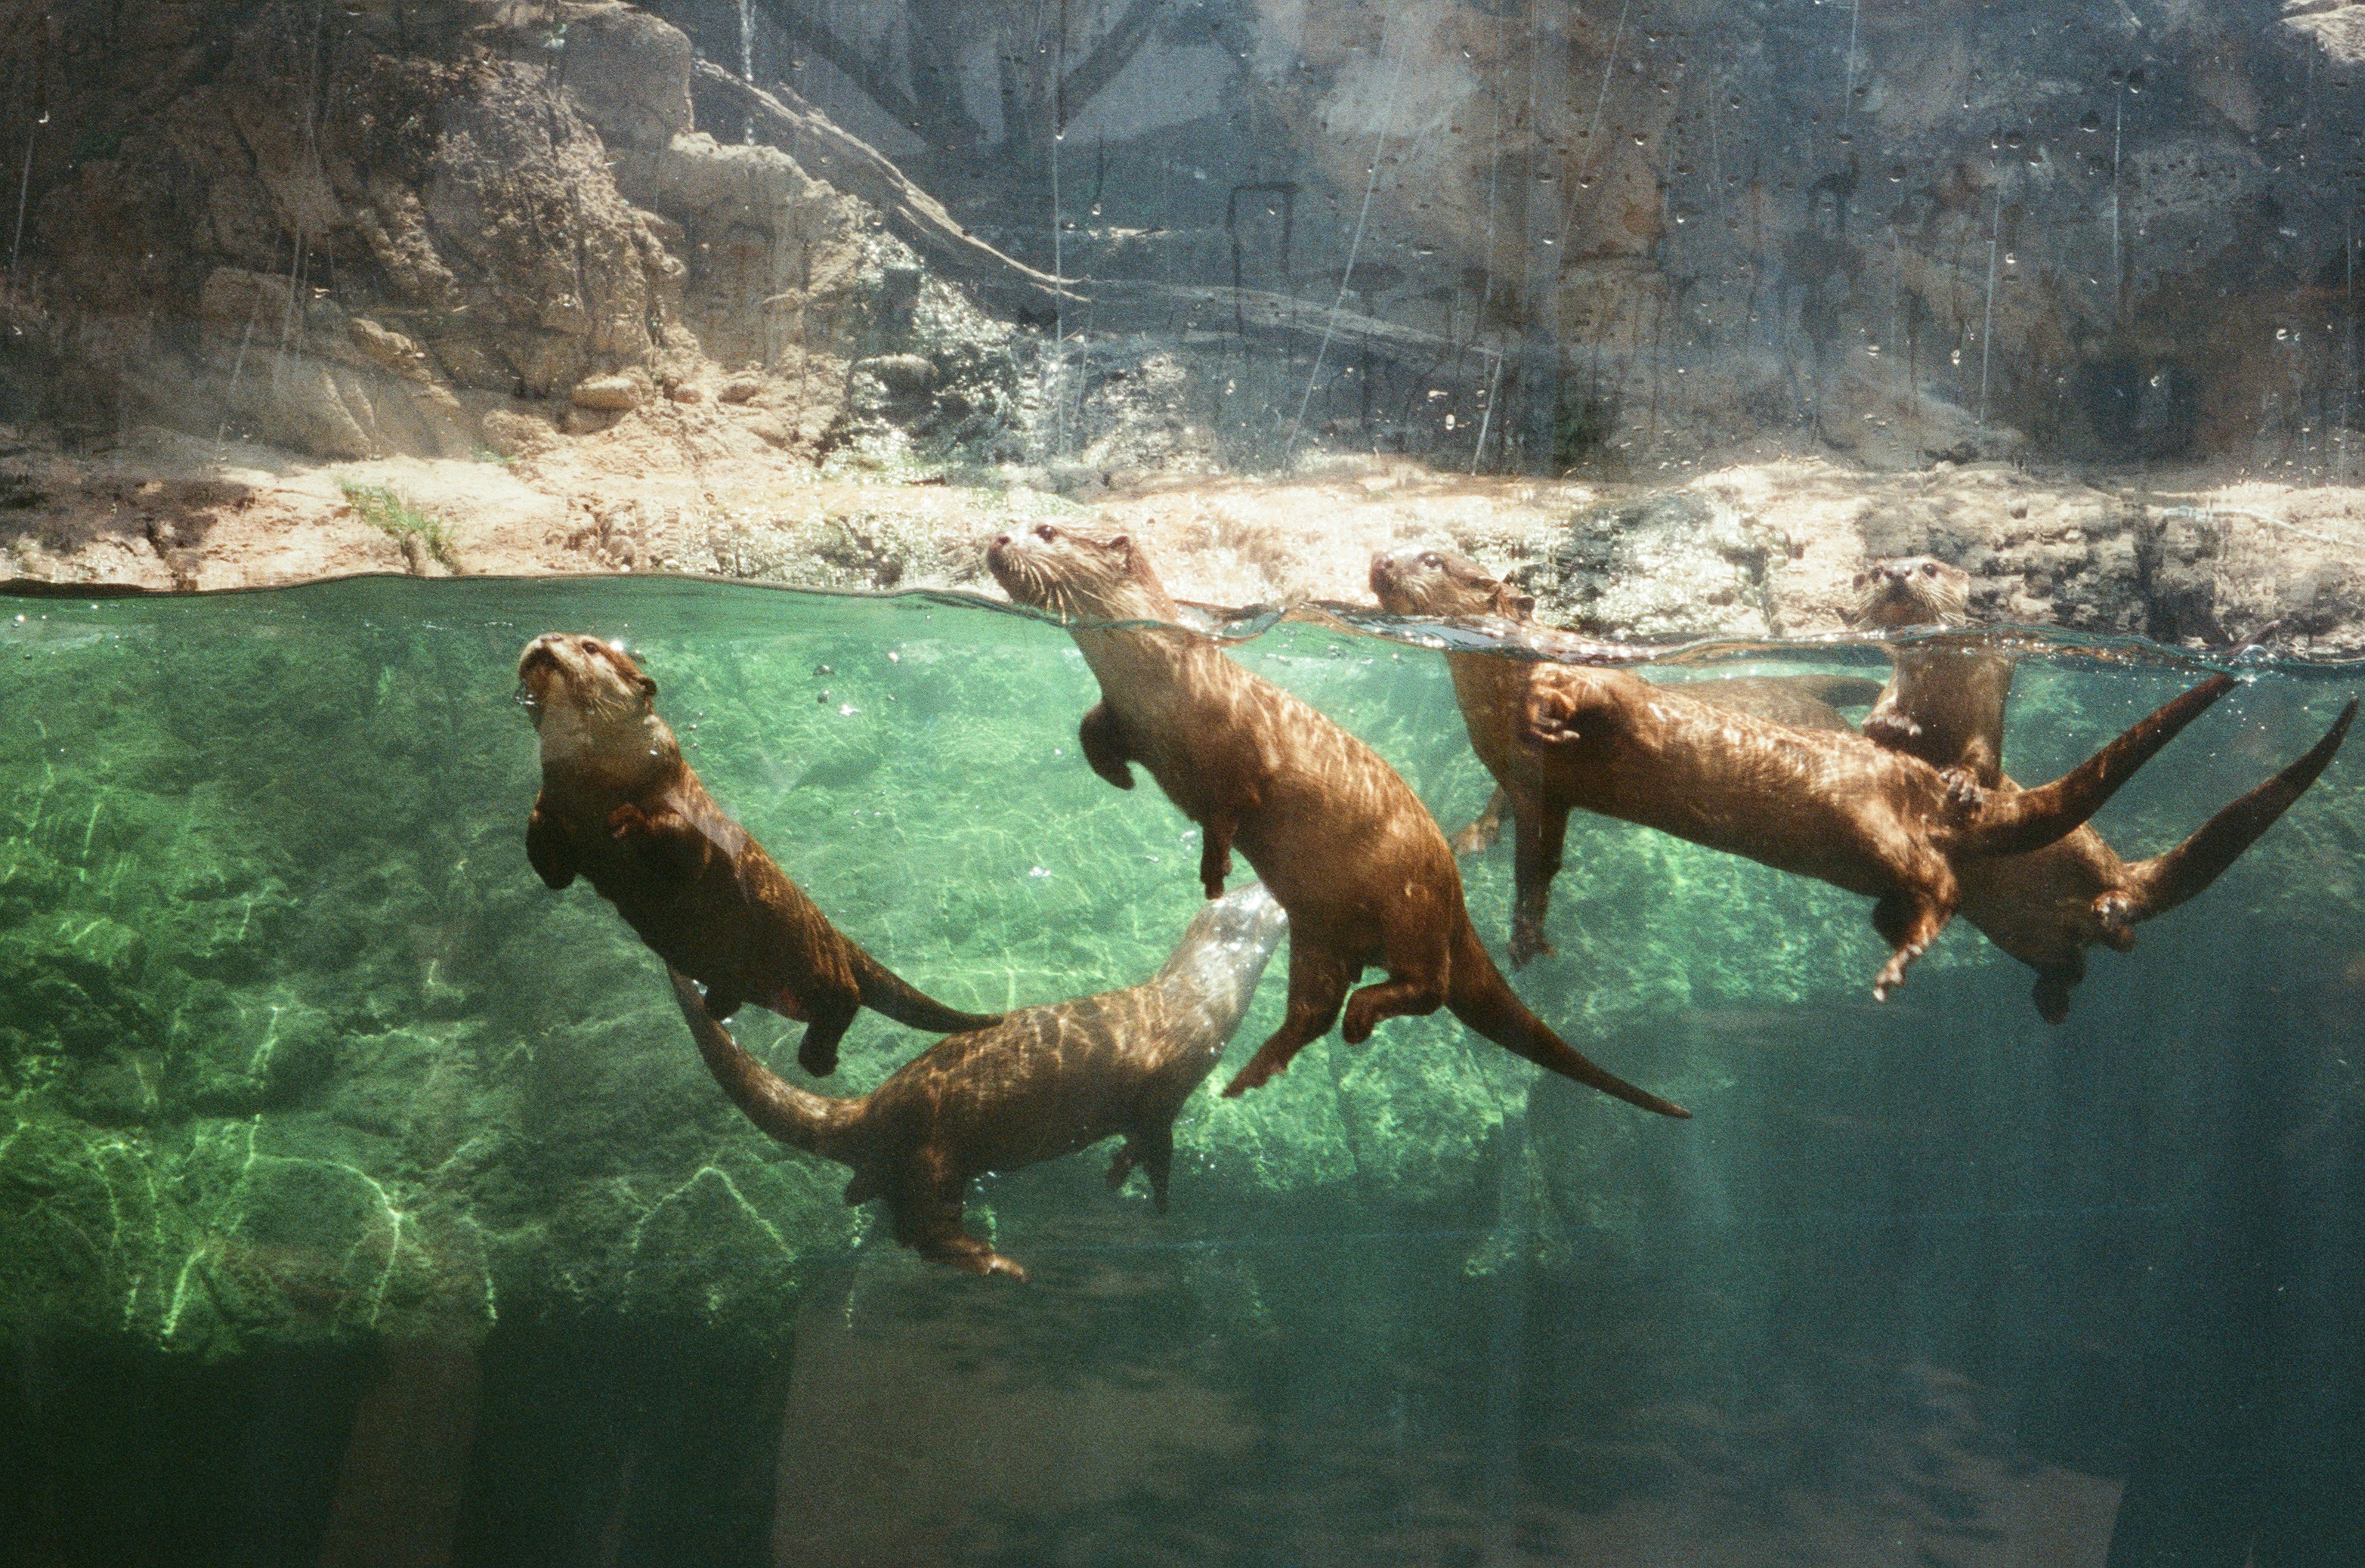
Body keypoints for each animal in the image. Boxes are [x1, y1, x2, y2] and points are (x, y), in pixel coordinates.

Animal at [517, 632, 999, 1076]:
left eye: (590, 647)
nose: (545, 638)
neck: (600, 782)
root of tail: (838, 937)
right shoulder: (561, 800)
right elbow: (554, 872)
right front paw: (540, 827)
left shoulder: (689, 809)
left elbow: (680, 843)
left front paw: (626, 820)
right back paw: (718, 1004)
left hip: (818, 967)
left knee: (847, 999)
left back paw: (820, 1059)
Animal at [667, 882, 1289, 1279]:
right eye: (1264, 898)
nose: (1281, 886)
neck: (1196, 1000)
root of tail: (870, 1105)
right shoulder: (1167, 1084)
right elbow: (1157, 1142)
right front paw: (1151, 1193)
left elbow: (1140, 1140)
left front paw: (1117, 1175)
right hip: (936, 1154)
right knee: (927, 1234)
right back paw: (1000, 1263)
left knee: (882, 1209)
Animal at [985, 524, 1688, 1117]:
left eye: (1046, 530)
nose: (997, 537)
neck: (1167, 686)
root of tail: (1456, 904)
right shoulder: (1125, 715)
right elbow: (1091, 728)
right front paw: (1118, 776)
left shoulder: (1244, 752)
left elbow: (1228, 809)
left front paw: (1214, 873)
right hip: (1318, 930)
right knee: (1315, 1007)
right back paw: (1254, 1071)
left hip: (1409, 903)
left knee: (1427, 987)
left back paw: (1362, 1013)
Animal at [1366, 548, 2235, 996]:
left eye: (1431, 556)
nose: (1378, 558)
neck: (1494, 688)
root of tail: (1918, 785)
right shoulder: (1535, 795)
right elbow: (1536, 862)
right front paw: (1524, 933)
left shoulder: (1606, 690)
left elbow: (1594, 697)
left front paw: (1550, 709)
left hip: (1867, 817)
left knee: (1941, 885)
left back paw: (1899, 960)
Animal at [1848, 555, 2358, 1020]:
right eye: (1876, 569)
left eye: (1929, 568)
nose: (1897, 572)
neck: (1940, 701)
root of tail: (2126, 871)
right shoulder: (1892, 696)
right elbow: (1873, 728)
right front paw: (1894, 725)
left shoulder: (1987, 719)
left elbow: (1983, 767)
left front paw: (1964, 781)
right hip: (2034, 936)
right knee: (2077, 961)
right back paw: (2054, 994)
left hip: (2088, 856)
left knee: (2125, 928)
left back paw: (2111, 909)